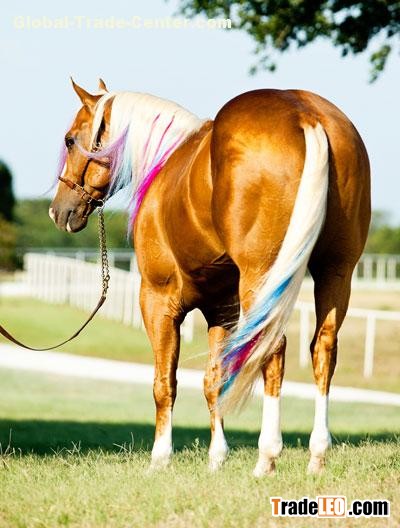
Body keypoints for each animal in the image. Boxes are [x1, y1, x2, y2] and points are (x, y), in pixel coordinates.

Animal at [50, 79, 370, 476]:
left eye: (69, 139)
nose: (58, 211)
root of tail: (304, 113)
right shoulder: (222, 310)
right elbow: (213, 380)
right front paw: (217, 458)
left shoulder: (156, 302)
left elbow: (164, 382)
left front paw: (160, 459)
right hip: (336, 270)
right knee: (323, 347)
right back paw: (317, 456)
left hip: (263, 277)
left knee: (273, 348)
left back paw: (267, 457)